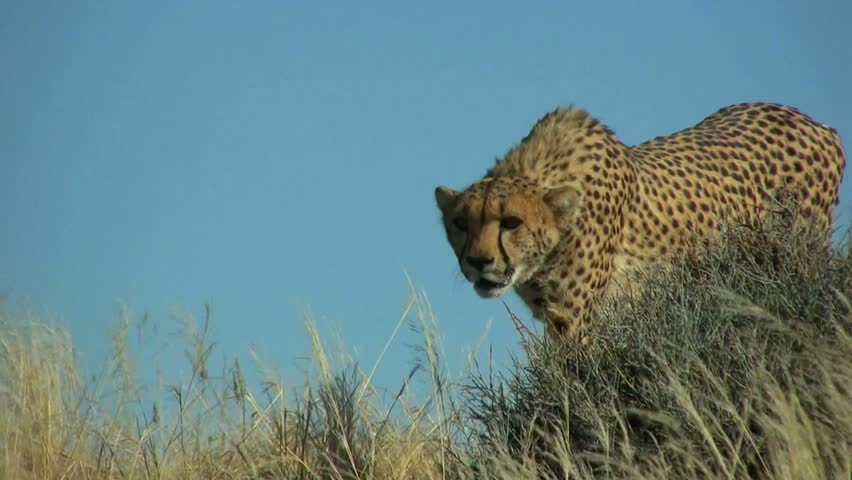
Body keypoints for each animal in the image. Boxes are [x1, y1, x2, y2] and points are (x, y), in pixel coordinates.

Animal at [434, 102, 845, 340]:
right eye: (461, 224)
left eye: (510, 222)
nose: (478, 261)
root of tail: (818, 125)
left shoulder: (578, 318)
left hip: (799, 254)